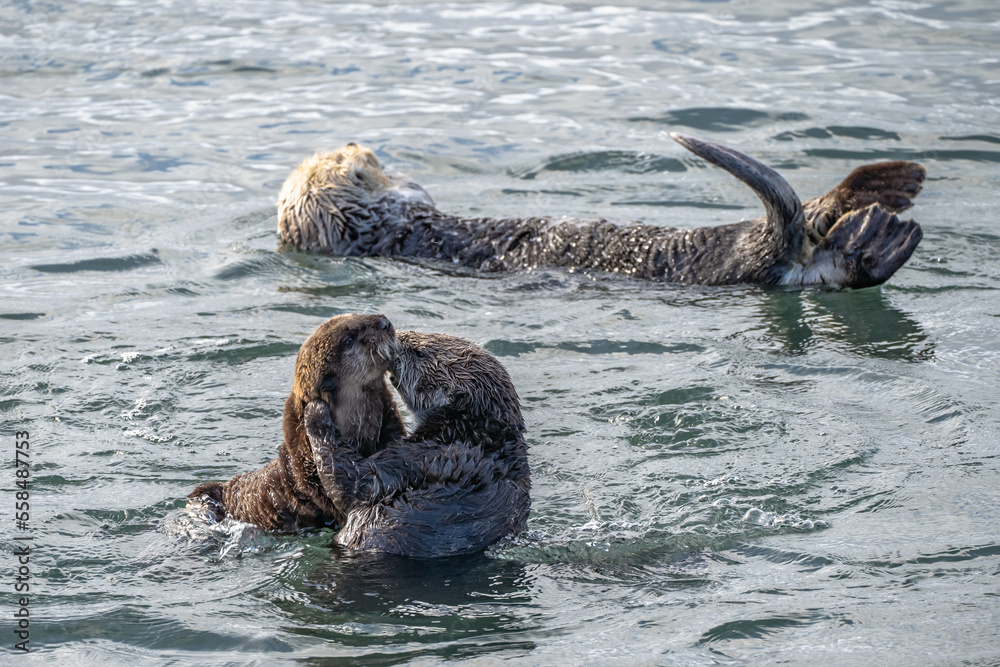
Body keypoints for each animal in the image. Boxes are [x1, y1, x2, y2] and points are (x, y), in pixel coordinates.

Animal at [303, 330, 530, 558]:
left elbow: (356, 481)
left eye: (419, 353)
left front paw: (315, 412)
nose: (398, 335)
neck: (473, 433)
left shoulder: (426, 456)